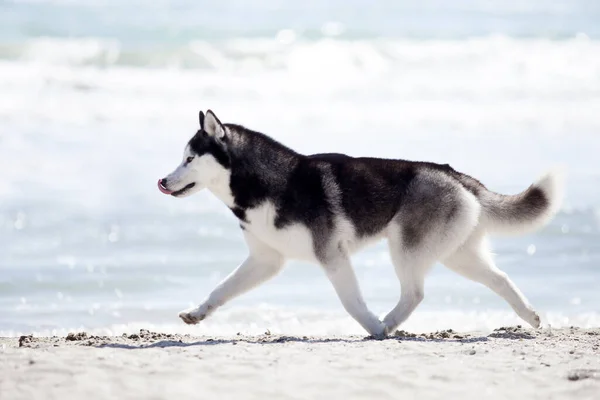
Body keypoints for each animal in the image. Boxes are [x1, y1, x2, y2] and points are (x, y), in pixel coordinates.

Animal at [158, 110, 564, 338]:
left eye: (190, 159)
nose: (162, 181)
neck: (270, 183)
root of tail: (457, 175)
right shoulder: (265, 261)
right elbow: (221, 290)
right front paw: (197, 313)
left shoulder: (333, 256)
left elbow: (352, 303)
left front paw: (373, 327)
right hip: (458, 255)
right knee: (501, 280)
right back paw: (531, 316)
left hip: (405, 247)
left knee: (415, 293)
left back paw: (388, 323)